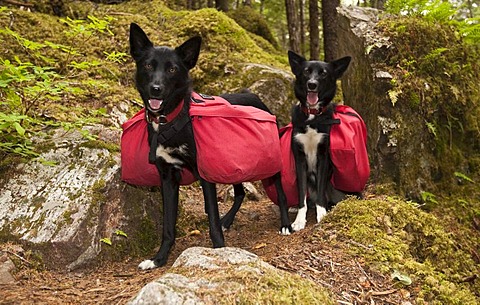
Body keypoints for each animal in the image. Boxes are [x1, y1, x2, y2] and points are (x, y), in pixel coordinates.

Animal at [128, 23, 292, 268]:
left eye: (173, 69)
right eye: (148, 65)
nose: (156, 89)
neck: (172, 120)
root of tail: (255, 96)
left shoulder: (204, 174)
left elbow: (212, 219)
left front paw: (220, 250)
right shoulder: (167, 177)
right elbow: (168, 226)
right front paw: (159, 258)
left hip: (268, 164)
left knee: (279, 193)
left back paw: (285, 224)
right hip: (232, 165)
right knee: (240, 193)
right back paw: (229, 220)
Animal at [286, 50, 350, 230]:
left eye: (324, 73)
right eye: (306, 71)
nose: (312, 84)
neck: (313, 116)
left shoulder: (323, 157)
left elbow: (321, 191)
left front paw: (322, 215)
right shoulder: (299, 158)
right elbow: (302, 194)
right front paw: (299, 220)